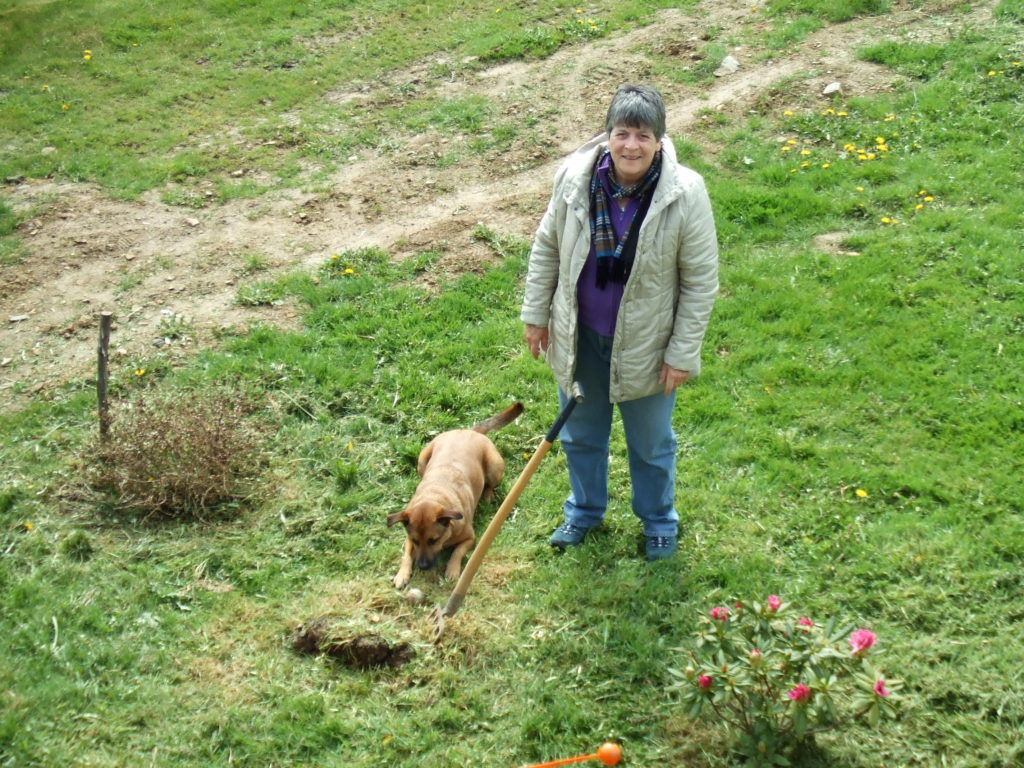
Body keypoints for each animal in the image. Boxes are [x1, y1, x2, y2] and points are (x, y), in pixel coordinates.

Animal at [387, 403, 524, 589]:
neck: (434, 496)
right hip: (422, 461)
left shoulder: (470, 538)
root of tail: (469, 431)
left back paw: (487, 495)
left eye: (433, 540)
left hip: (494, 467)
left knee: (490, 484)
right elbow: (406, 554)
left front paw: (452, 570)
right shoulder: (408, 538)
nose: (422, 566)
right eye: (415, 540)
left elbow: (457, 552)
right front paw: (402, 574)